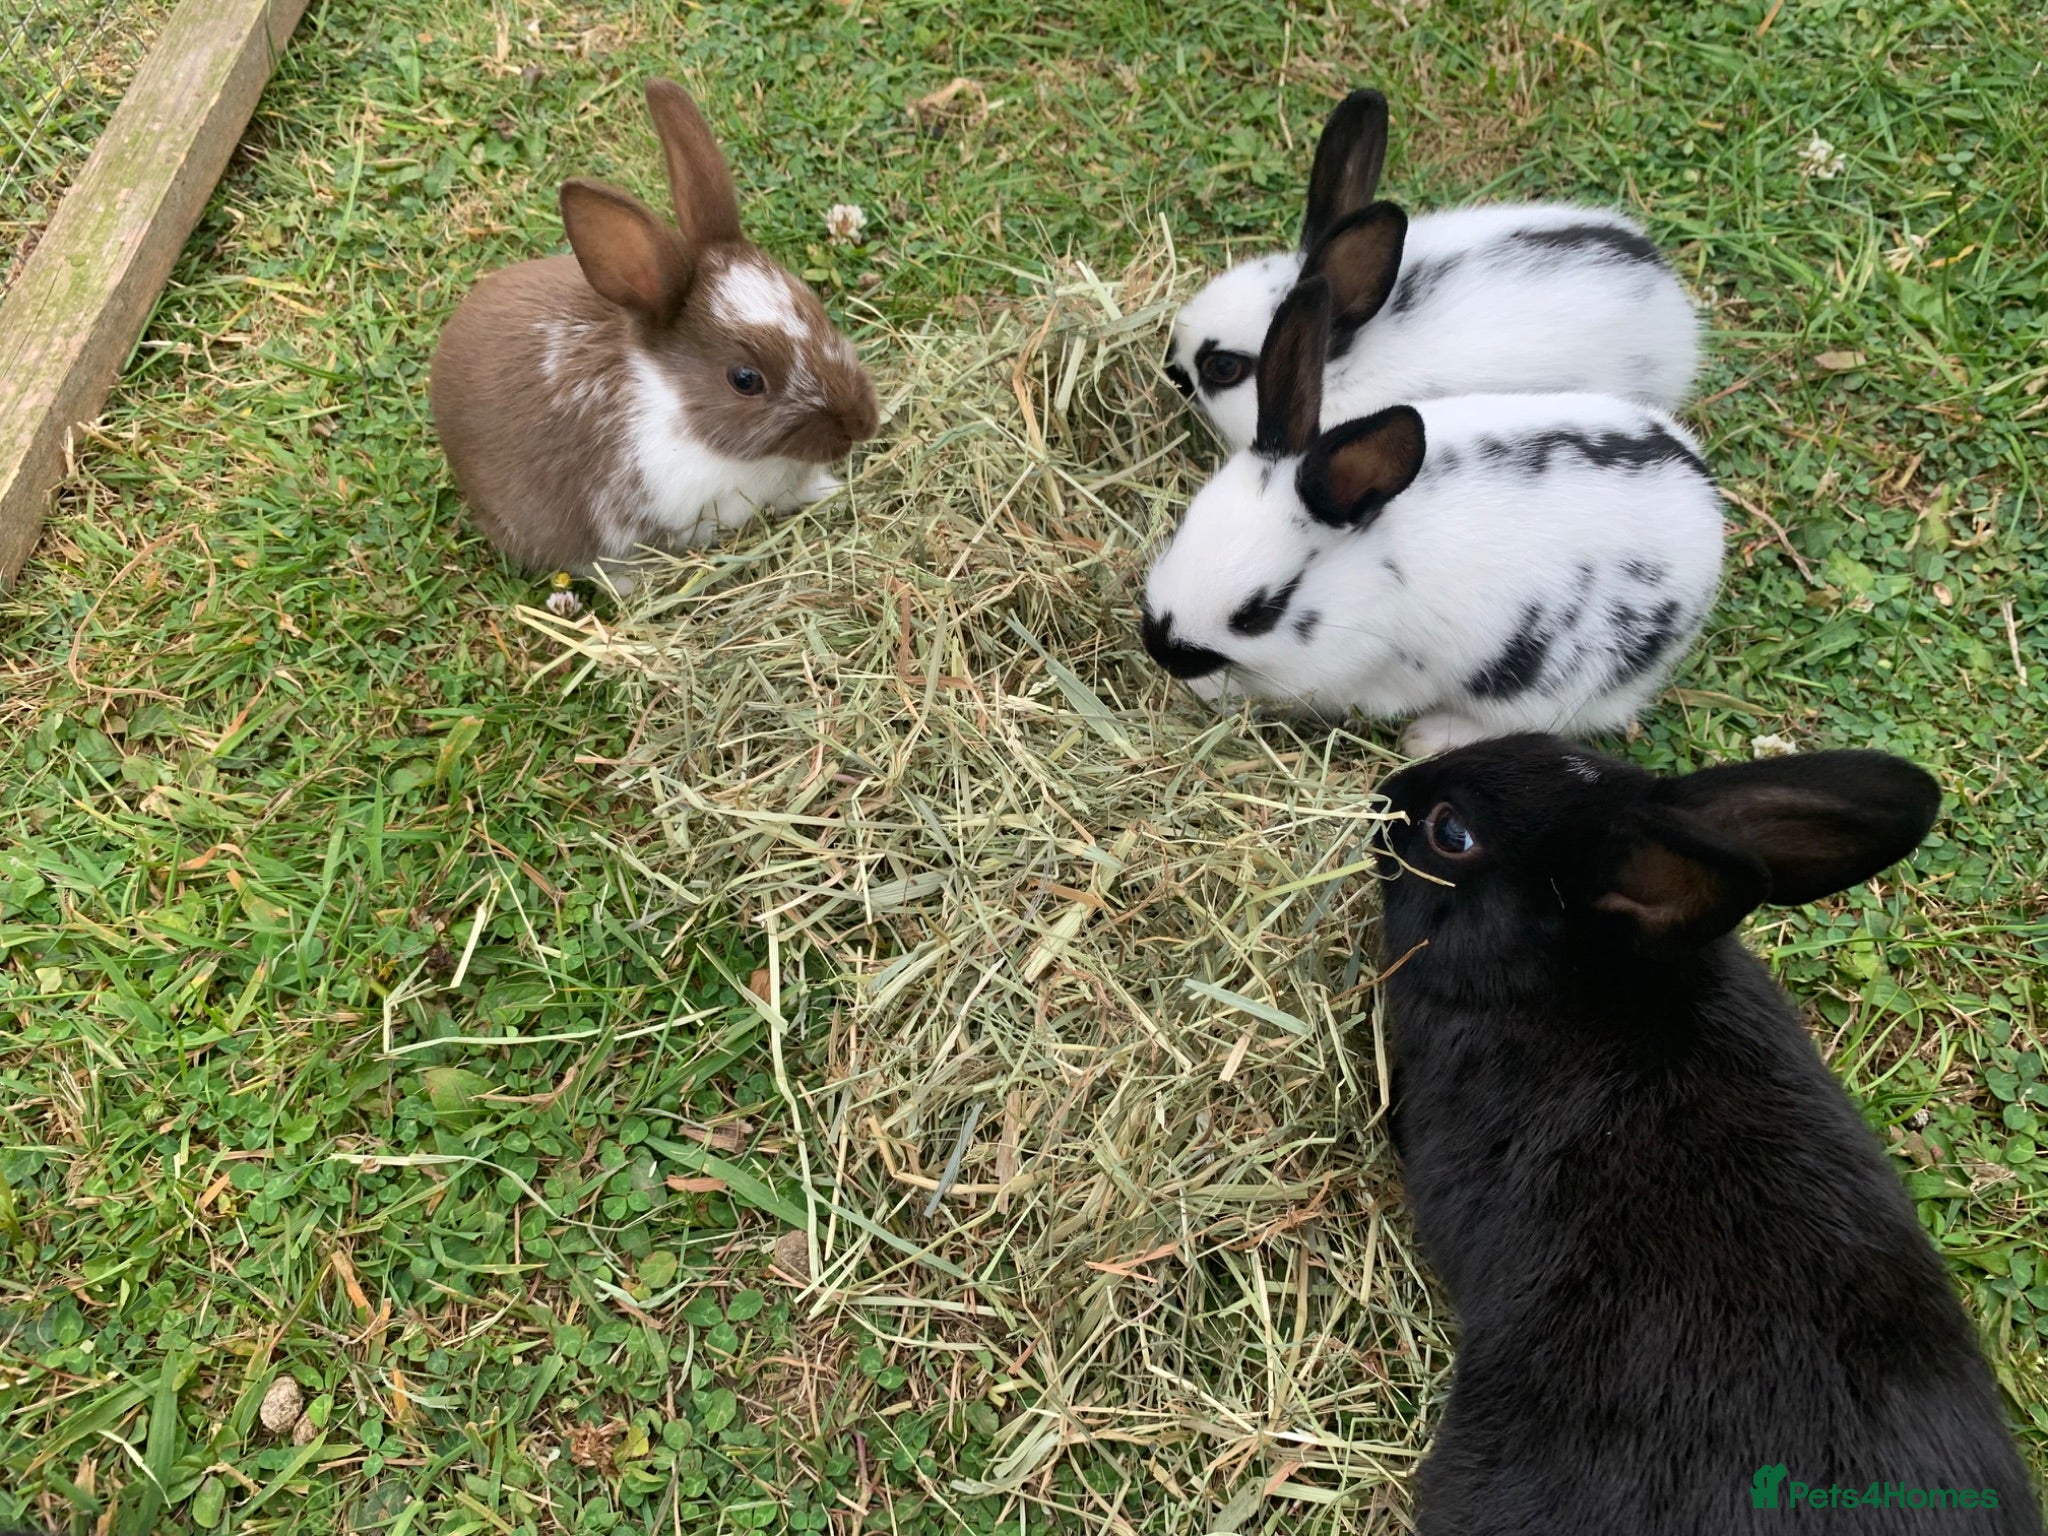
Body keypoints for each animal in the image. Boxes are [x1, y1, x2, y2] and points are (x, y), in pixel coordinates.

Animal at [1140, 277, 1724, 756]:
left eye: (1260, 612)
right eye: (1184, 529)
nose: (1160, 651)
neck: (1378, 572)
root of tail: (1705, 499)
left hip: (1554, 686)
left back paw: (1430, 737)